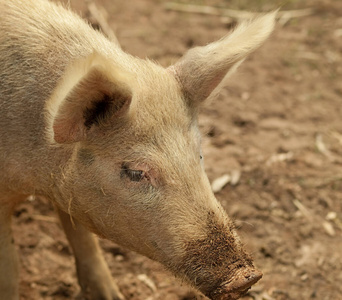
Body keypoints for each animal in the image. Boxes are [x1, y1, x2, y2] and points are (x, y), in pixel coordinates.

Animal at [0, 0, 276, 300]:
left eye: (199, 154)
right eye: (135, 172)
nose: (246, 277)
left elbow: (84, 240)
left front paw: (112, 295)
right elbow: (11, 269)